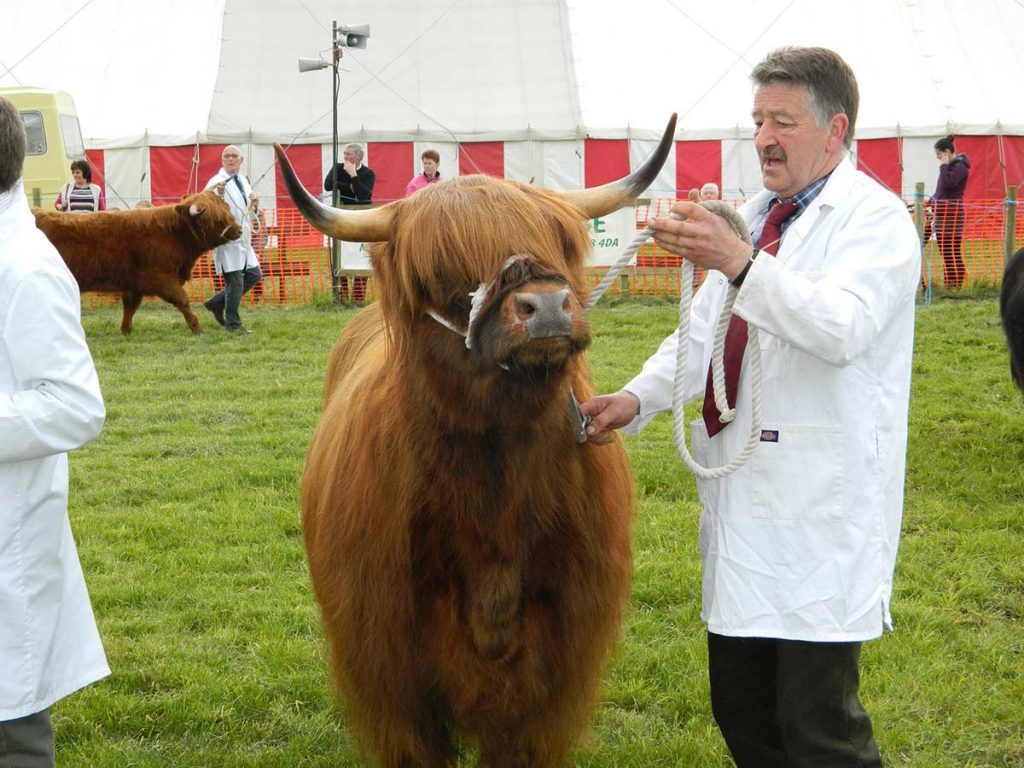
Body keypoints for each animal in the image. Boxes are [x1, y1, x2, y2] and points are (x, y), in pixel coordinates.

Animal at [33, 189, 241, 333]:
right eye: (216, 220)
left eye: (226, 209)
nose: (239, 230)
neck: (173, 233)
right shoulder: (162, 278)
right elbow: (182, 300)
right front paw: (197, 327)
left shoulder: (134, 283)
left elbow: (130, 307)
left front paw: (126, 330)